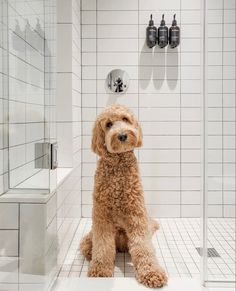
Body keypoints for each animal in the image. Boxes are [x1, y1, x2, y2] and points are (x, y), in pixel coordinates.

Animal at [80, 104, 167, 288]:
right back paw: (91, 252)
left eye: (125, 119)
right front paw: (100, 271)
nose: (121, 135)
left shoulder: (136, 214)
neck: (118, 163)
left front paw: (151, 272)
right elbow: (103, 245)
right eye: (108, 124)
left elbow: (143, 247)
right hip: (90, 235)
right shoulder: (101, 215)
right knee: (88, 245)